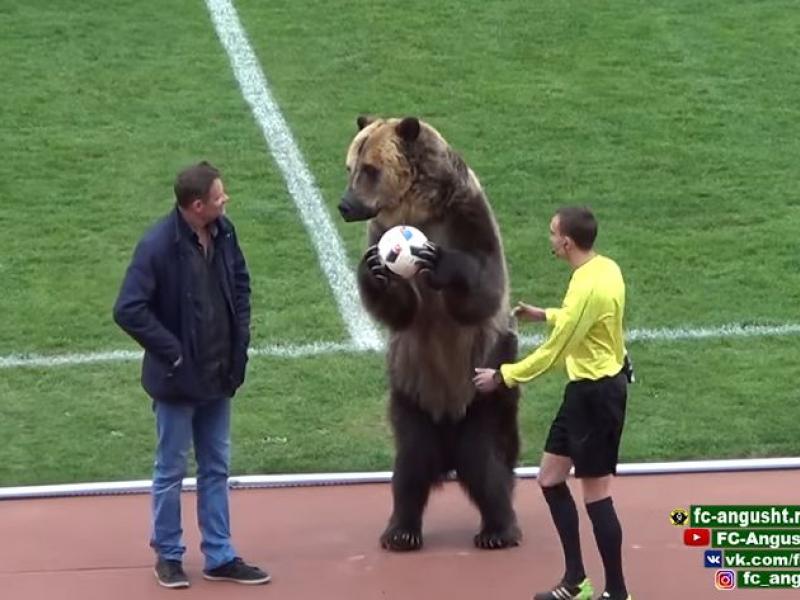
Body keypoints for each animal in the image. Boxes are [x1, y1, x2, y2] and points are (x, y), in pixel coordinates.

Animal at [338, 115, 522, 551]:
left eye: (370, 169)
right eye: (350, 167)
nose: (345, 205)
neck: (418, 210)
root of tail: (448, 445)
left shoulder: (468, 217)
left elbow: (483, 286)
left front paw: (440, 263)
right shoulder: (378, 229)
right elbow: (400, 311)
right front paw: (375, 270)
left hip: (484, 392)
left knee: (486, 463)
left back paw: (498, 530)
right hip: (410, 393)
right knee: (410, 467)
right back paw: (400, 531)